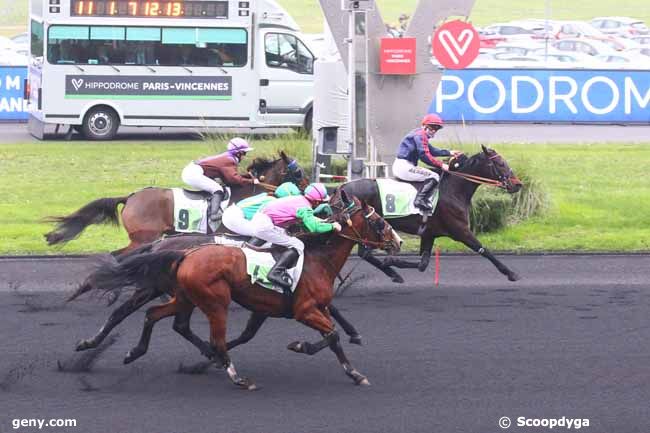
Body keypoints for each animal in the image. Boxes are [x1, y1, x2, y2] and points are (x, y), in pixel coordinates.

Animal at [78, 192, 398, 388]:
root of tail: (172, 248)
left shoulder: (266, 308)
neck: (316, 258)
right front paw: (306, 347)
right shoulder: (304, 309)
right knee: (149, 317)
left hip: (183, 296)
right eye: (378, 221)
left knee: (160, 317)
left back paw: (127, 350)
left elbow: (249, 335)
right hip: (206, 299)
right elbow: (331, 334)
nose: (397, 241)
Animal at [342, 143, 520, 282]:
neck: (452, 189)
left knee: (364, 253)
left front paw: (392, 261)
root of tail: (343, 188)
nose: (518, 184)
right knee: (365, 253)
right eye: (500, 163)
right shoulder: (461, 230)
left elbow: (423, 264)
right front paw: (511, 273)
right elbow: (484, 250)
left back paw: (394, 275)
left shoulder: (429, 233)